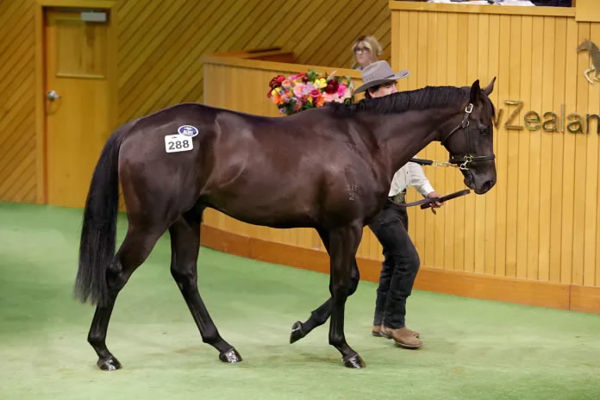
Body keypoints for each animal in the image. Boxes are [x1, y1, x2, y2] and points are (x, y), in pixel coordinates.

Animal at [75, 79, 496, 370]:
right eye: (482, 126)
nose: (486, 181)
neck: (363, 140)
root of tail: (137, 127)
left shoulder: (330, 227)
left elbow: (350, 282)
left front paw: (300, 328)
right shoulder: (346, 227)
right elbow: (341, 284)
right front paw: (345, 350)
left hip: (186, 217)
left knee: (185, 274)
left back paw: (223, 346)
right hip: (150, 222)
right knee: (117, 272)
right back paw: (104, 352)